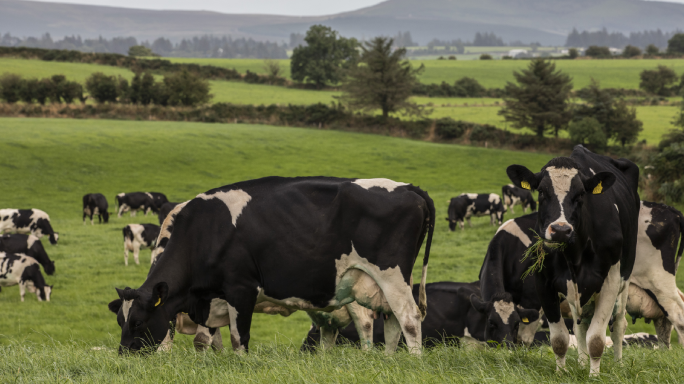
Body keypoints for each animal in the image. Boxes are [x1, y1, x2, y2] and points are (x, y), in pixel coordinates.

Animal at [109, 178, 436, 356]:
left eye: (137, 321)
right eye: (120, 320)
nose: (124, 354)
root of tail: (409, 188)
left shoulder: (240, 289)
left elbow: (237, 338)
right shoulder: (209, 299)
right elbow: (207, 341)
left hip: (389, 275)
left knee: (405, 317)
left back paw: (412, 360)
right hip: (384, 283)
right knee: (390, 320)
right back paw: (389, 360)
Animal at [502, 145, 640, 376]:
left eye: (581, 193)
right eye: (541, 192)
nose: (560, 230)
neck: (574, 255)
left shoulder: (610, 281)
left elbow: (596, 339)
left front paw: (594, 376)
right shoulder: (543, 282)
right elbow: (560, 339)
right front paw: (561, 373)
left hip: (625, 278)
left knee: (619, 324)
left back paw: (618, 365)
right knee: (580, 326)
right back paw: (582, 363)